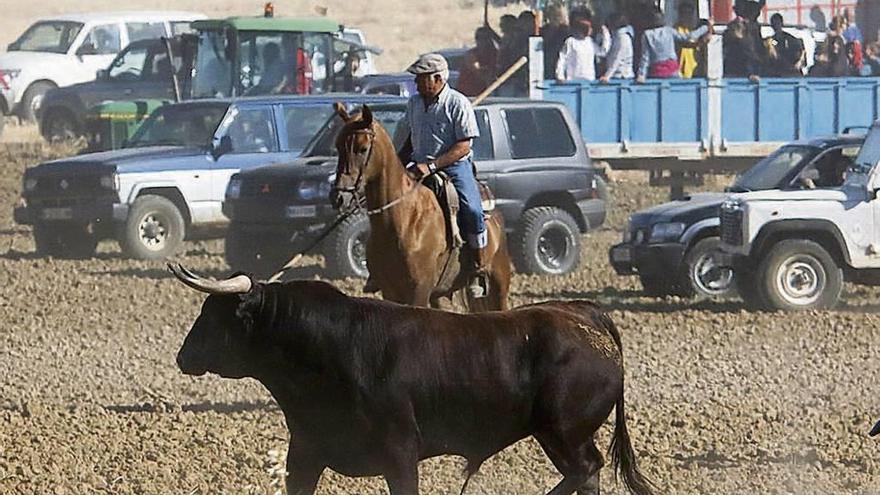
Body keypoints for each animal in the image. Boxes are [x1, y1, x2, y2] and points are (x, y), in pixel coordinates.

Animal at [174, 272, 652, 495]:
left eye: (214, 316)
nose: (183, 355)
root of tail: (582, 313)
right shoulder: (306, 452)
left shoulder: (400, 455)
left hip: (562, 432)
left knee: (585, 469)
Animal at [330, 105, 508, 312]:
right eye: (338, 146)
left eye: (362, 149)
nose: (338, 197)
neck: (404, 220)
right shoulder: (390, 290)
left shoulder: (419, 290)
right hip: (441, 293)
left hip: (499, 282)